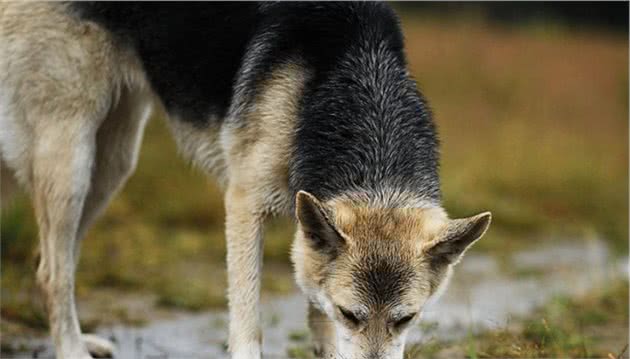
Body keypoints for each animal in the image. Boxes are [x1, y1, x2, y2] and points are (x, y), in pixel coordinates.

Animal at [1, 3, 494, 359]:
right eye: (350, 314)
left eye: (406, 319)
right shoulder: (244, 206)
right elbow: (248, 322)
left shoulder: (308, 230)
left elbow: (317, 317)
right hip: (73, 161)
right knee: (53, 272)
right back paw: (71, 350)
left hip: (112, 163)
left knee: (52, 262)